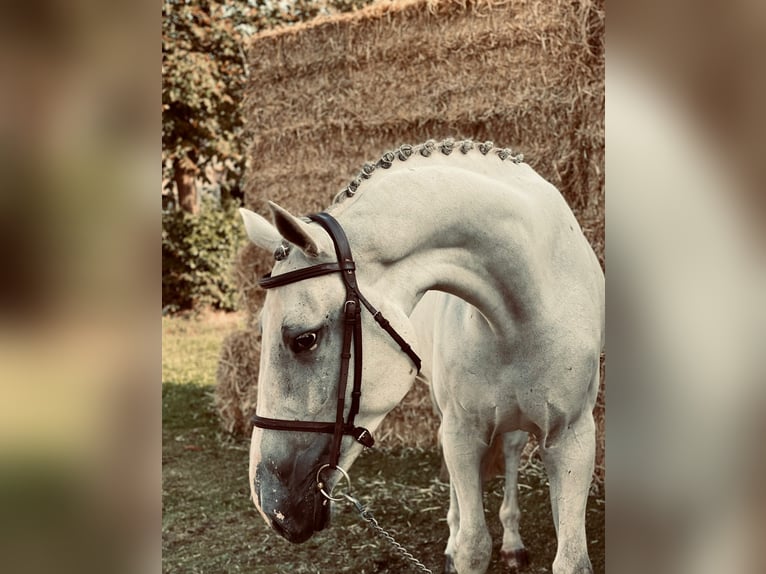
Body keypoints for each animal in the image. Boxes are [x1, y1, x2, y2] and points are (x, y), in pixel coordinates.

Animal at [243, 141, 604, 574]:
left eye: (304, 339)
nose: (270, 507)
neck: (528, 310)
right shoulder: (462, 433)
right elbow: (472, 546)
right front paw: (459, 545)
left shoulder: (573, 439)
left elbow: (571, 558)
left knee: (512, 450)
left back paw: (513, 542)